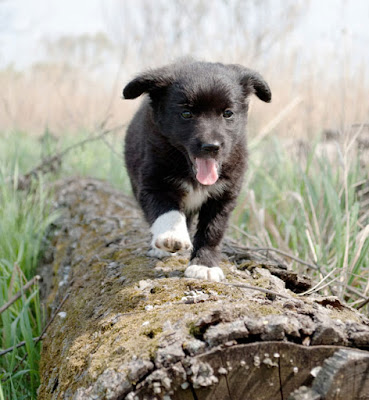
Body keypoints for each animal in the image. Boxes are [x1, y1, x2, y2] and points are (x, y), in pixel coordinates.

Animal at [122, 61, 268, 282]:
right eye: (186, 114)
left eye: (228, 113)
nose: (211, 146)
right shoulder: (153, 183)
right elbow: (167, 210)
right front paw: (172, 235)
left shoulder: (224, 196)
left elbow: (212, 231)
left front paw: (204, 265)